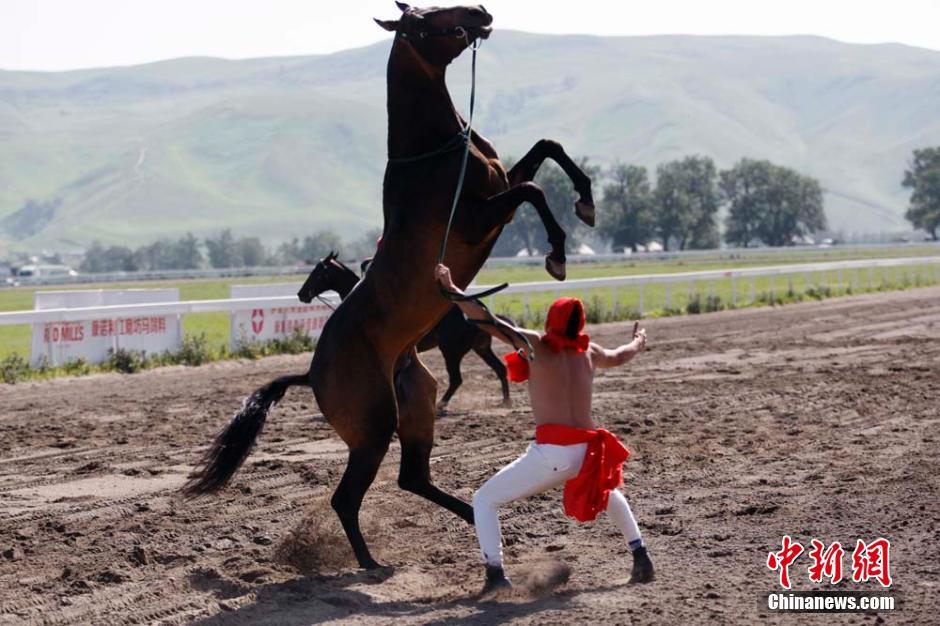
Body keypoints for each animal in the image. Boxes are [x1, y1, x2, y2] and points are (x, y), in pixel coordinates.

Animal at [298, 251, 510, 408]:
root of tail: (482, 311)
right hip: (480, 347)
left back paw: (441, 404)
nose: (301, 294)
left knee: (456, 379)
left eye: (318, 272)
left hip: (451, 351)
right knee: (499, 368)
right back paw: (506, 401)